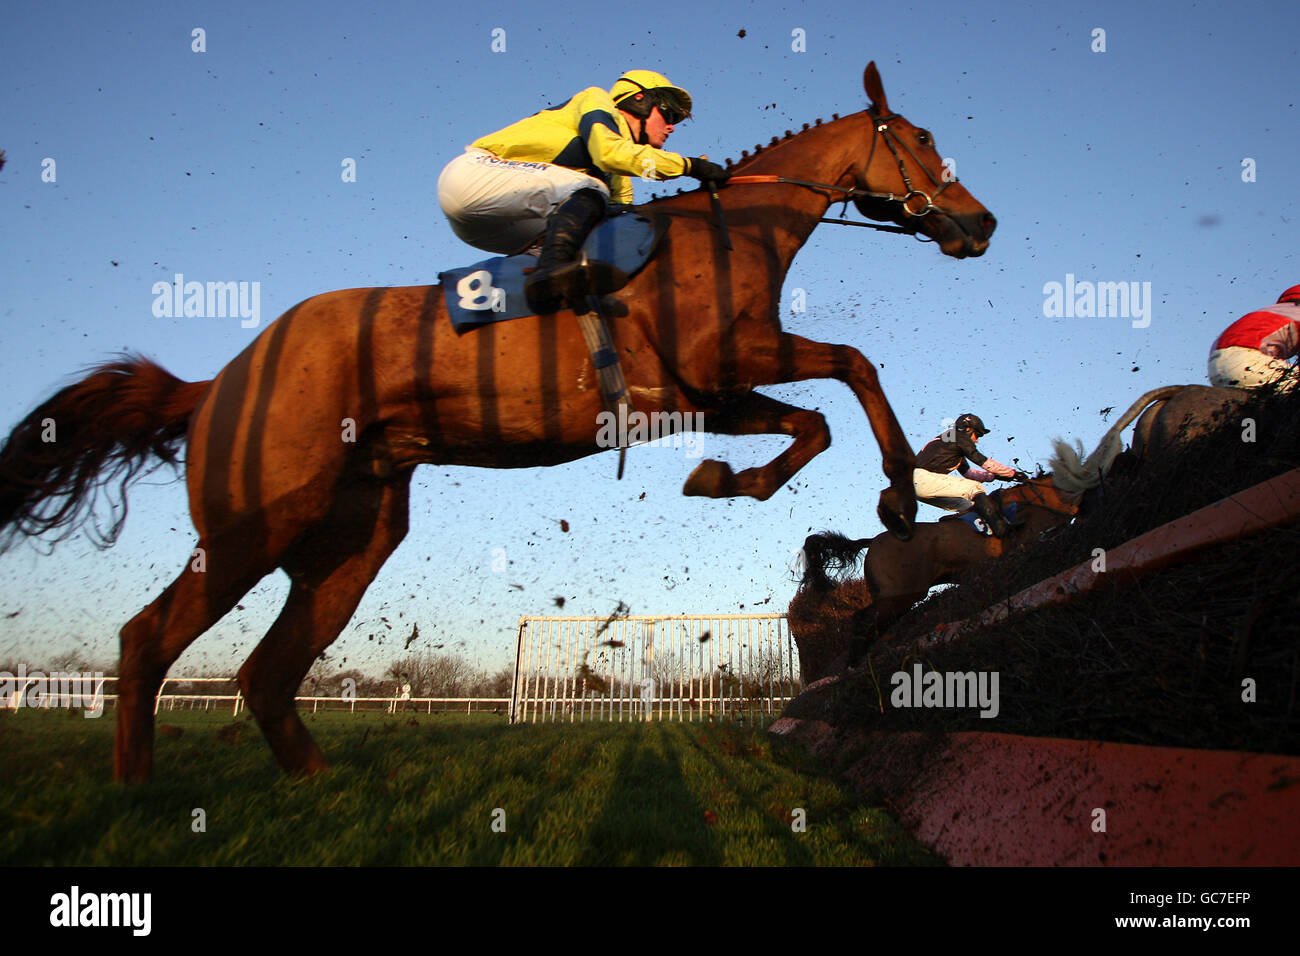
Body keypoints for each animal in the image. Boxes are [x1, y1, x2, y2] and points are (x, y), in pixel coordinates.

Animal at [0, 59, 993, 780]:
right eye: (922, 138)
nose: (980, 224)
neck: (725, 236)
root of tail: (222, 378)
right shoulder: (728, 363)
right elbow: (855, 366)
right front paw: (901, 494)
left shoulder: (708, 395)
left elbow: (812, 426)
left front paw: (727, 479)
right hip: (256, 521)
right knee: (149, 640)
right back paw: (136, 789)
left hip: (351, 537)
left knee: (267, 671)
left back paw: (318, 783)